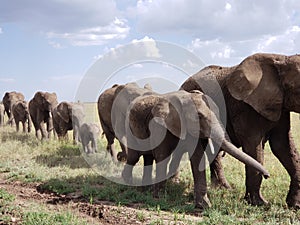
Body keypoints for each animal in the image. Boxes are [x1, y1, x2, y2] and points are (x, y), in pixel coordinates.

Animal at [122, 89, 270, 209]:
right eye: (199, 117)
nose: (267, 175)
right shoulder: (159, 124)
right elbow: (163, 155)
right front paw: (159, 197)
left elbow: (198, 156)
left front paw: (203, 206)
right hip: (129, 128)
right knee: (135, 156)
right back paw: (130, 184)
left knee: (147, 157)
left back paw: (144, 189)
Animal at [179, 52, 300, 207]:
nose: (268, 176)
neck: (282, 58)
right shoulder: (244, 107)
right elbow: (253, 149)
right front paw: (259, 204)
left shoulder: (281, 106)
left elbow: (283, 146)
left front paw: (295, 205)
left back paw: (224, 188)